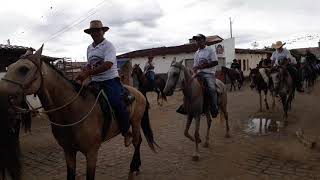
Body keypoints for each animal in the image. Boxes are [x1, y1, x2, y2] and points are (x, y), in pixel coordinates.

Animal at [0, 46, 158, 180]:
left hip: (136, 122)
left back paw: (132, 169)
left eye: (23, 69)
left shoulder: (91, 153)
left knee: (137, 142)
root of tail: (138, 93)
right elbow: (70, 175)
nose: (2, 95)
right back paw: (136, 166)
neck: (73, 110)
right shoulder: (68, 152)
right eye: (9, 67)